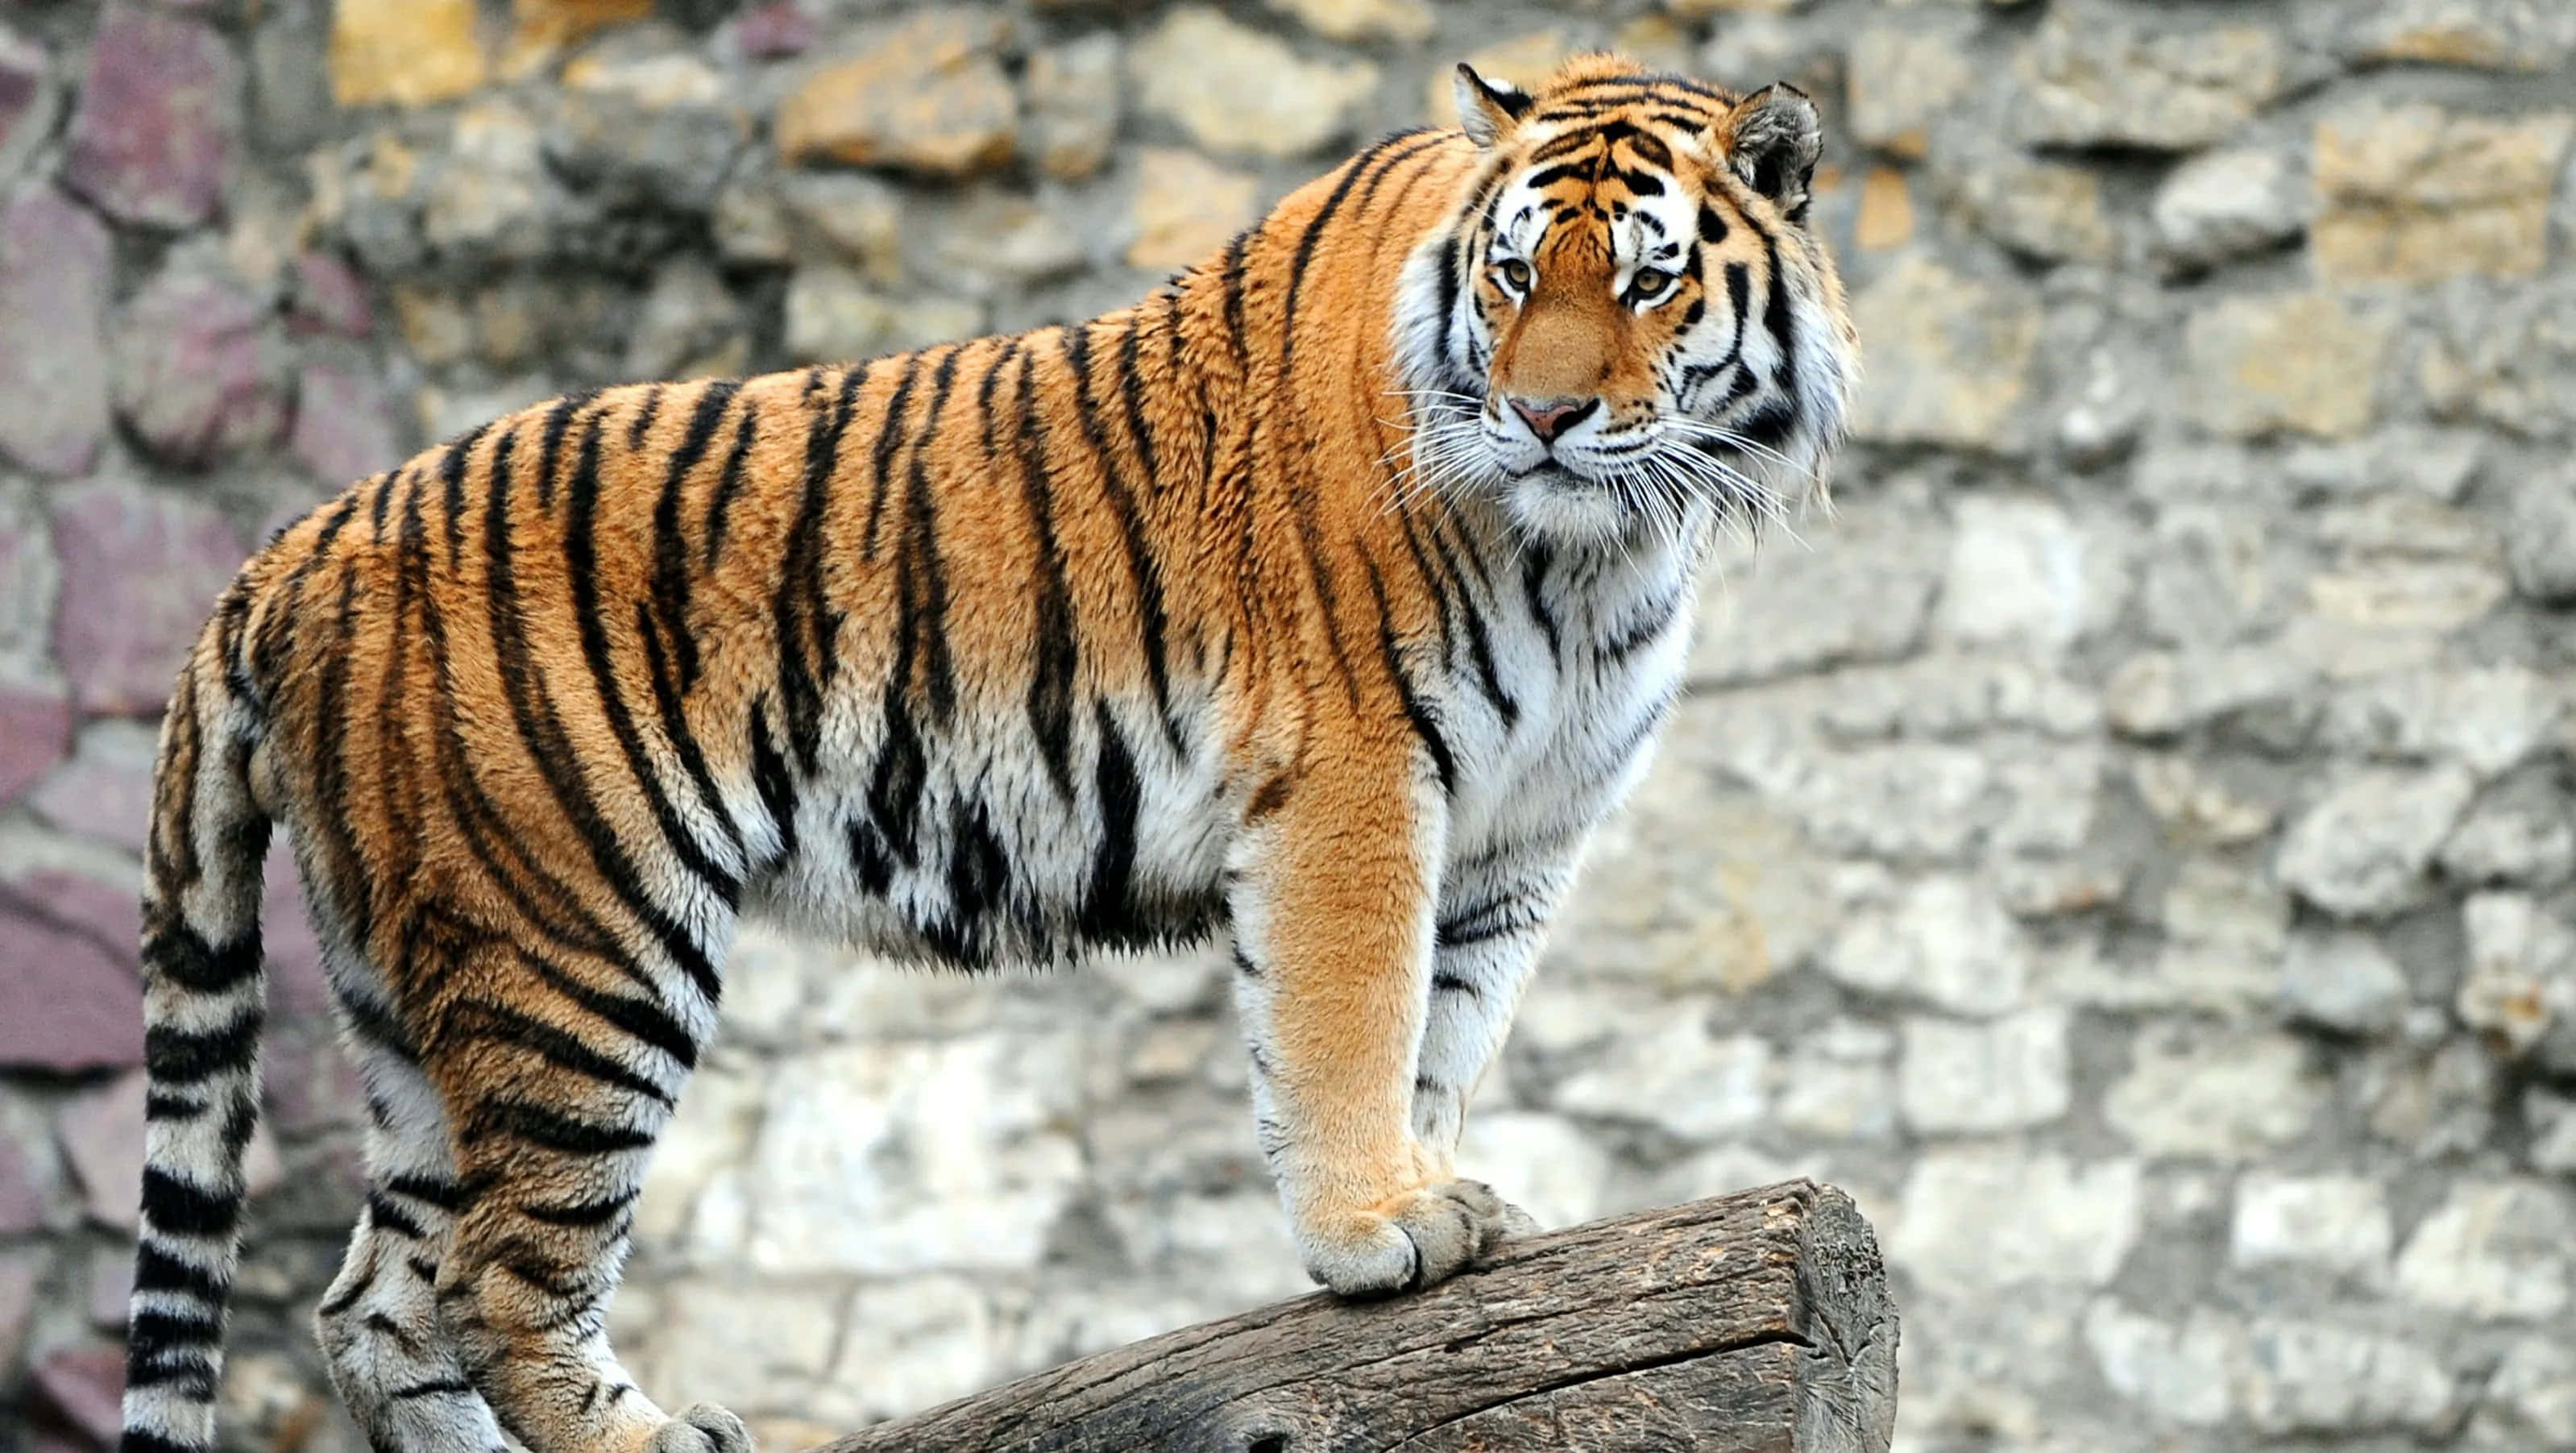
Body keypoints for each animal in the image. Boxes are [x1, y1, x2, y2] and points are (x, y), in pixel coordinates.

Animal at [117, 51, 1855, 1453]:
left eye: (1642, 283)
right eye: (1508, 278)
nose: (1542, 417)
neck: (1599, 547)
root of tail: (293, 546)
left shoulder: (1515, 832)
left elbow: (1447, 1026)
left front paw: (1440, 1193)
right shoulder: (1356, 778)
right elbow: (1353, 1018)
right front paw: (1376, 1228)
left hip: (417, 988)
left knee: (374, 1299)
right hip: (578, 945)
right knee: (491, 1274)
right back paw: (653, 1434)